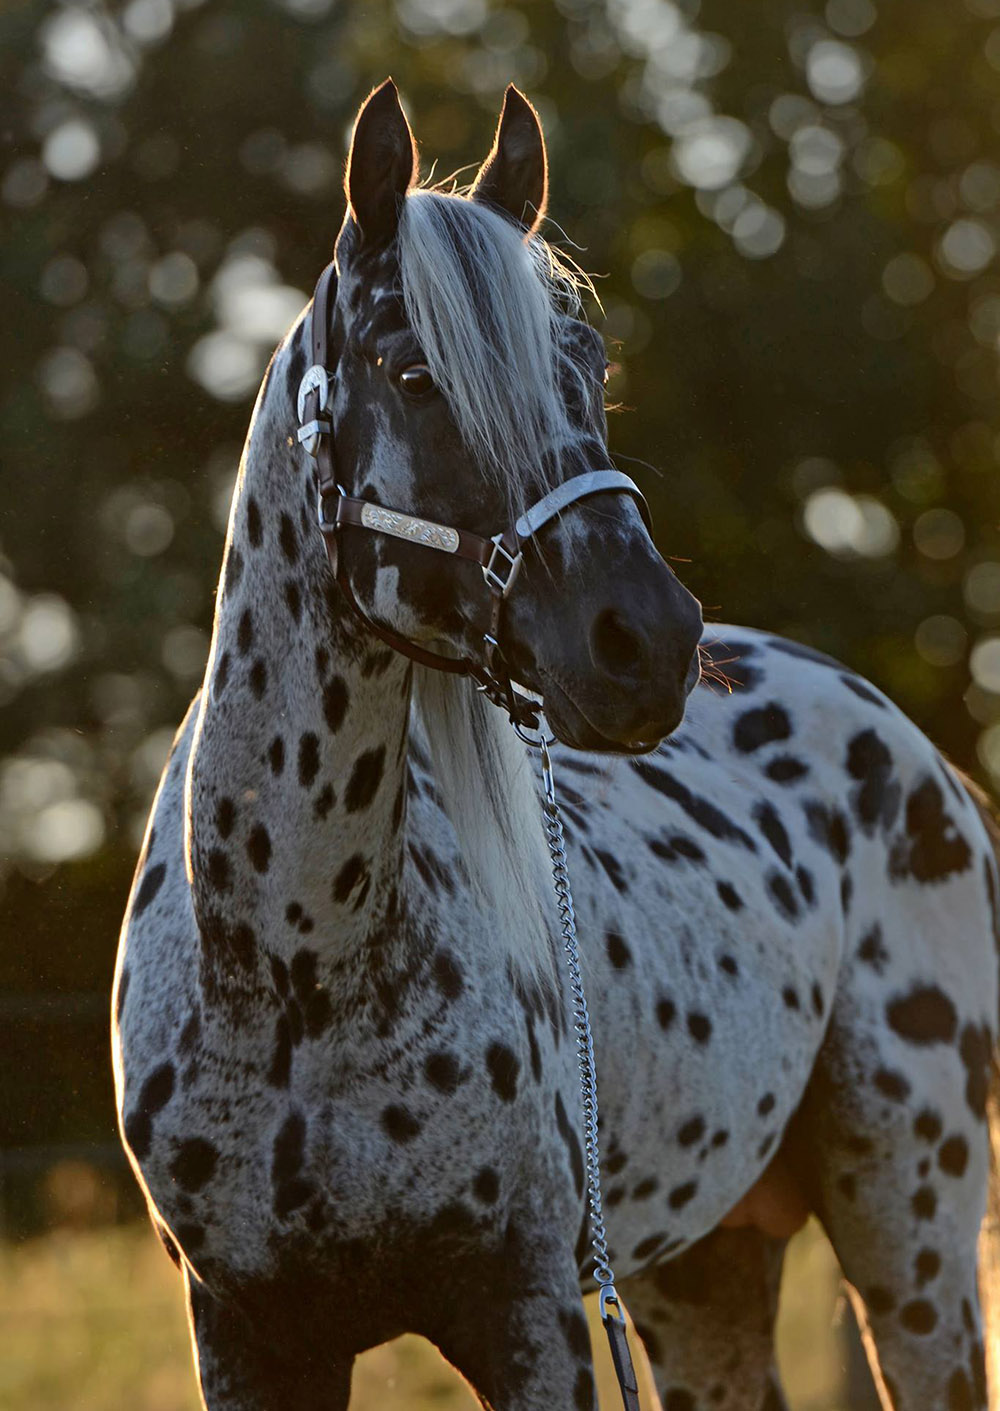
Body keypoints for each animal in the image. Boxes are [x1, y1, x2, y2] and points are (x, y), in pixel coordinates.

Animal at [112, 82, 992, 1405]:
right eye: (411, 370)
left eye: (588, 367)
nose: (650, 641)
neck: (290, 969)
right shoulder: (250, 1332)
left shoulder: (524, 1312)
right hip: (702, 1270)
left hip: (911, 1222)